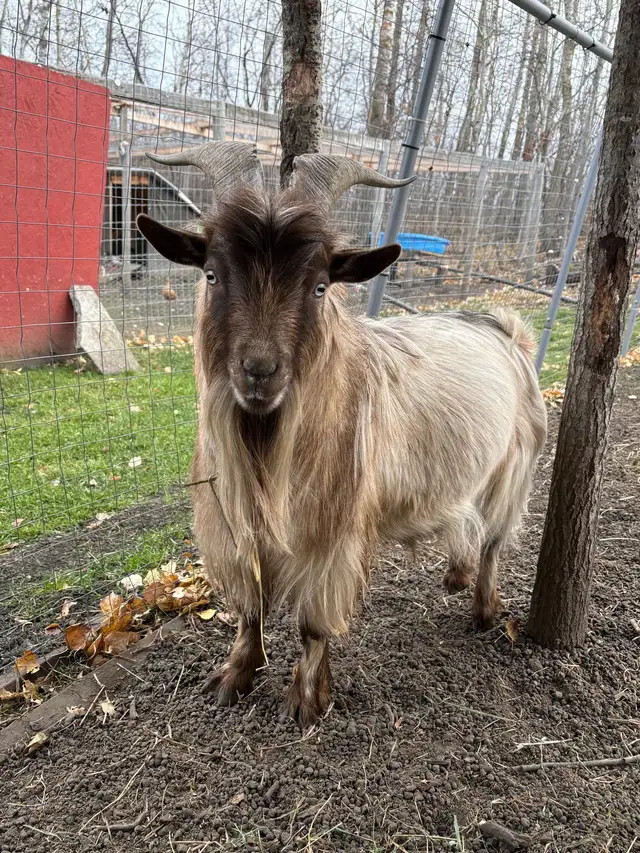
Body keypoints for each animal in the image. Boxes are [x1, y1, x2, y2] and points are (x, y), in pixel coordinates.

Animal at [137, 142, 547, 726]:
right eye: (212, 274)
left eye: (319, 286)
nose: (259, 372)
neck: (269, 448)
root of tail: (506, 330)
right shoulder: (237, 527)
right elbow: (249, 608)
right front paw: (234, 676)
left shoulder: (332, 533)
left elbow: (313, 621)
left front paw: (308, 700)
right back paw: (457, 575)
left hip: (511, 471)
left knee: (494, 541)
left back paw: (486, 611)